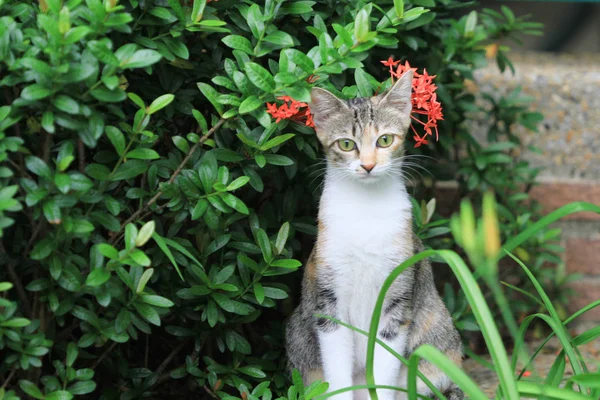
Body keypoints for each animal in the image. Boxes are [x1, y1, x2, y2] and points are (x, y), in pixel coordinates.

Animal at [284, 72, 464, 400]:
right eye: (346, 144)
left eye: (385, 140)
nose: (368, 165)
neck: (365, 210)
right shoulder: (328, 298)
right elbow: (336, 364)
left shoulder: (397, 297)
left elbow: (384, 363)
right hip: (299, 341)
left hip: (439, 345)